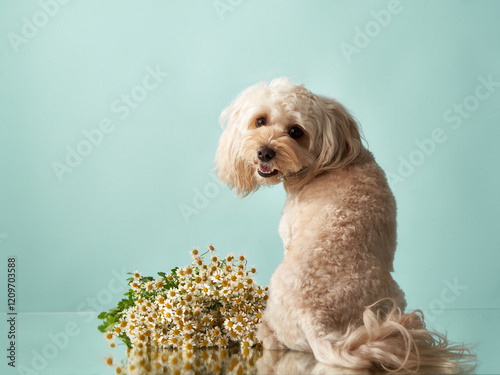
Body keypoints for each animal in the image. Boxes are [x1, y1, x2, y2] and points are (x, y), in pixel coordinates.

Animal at [214, 78, 472, 372]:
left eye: (296, 132)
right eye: (260, 121)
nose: (265, 152)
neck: (328, 164)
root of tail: (314, 318)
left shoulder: (288, 235)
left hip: (393, 294)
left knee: (270, 337)